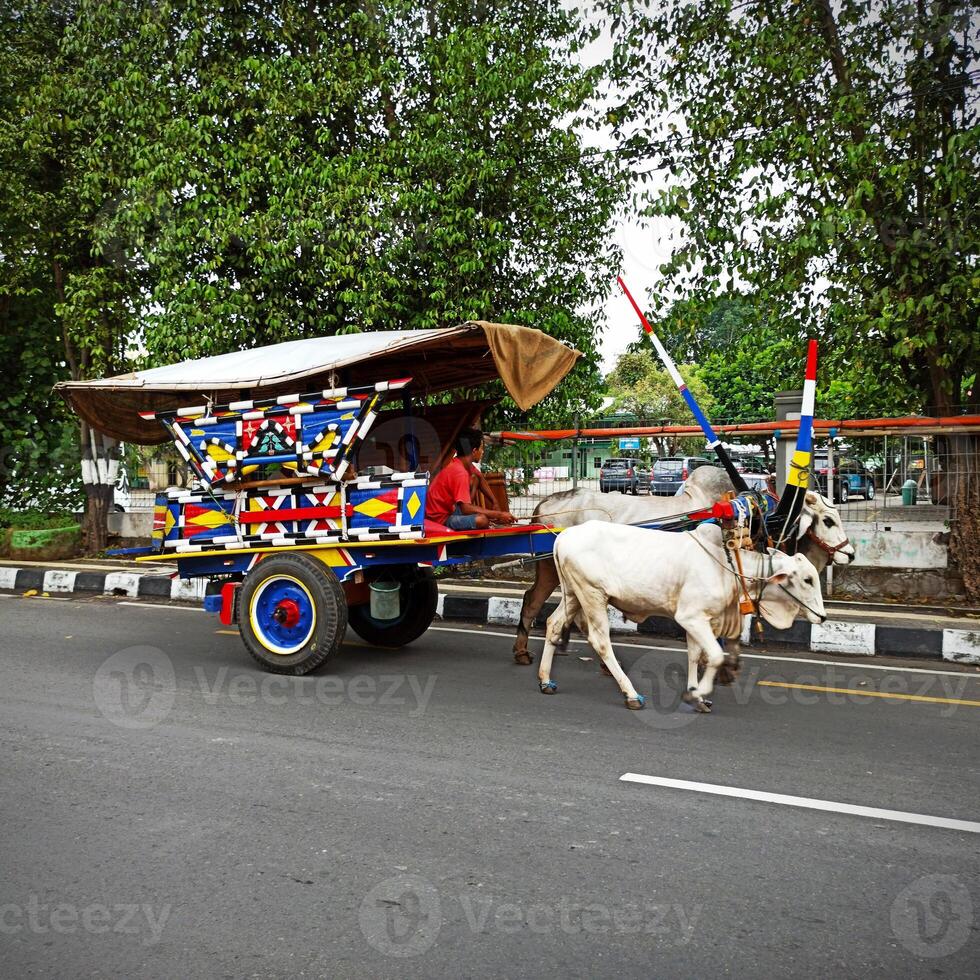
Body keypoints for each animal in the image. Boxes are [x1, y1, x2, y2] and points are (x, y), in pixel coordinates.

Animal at [540, 520, 824, 712]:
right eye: (807, 579)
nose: (822, 617)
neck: (727, 566)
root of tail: (563, 536)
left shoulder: (699, 620)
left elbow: (695, 656)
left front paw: (696, 695)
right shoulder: (691, 617)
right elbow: (716, 656)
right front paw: (699, 693)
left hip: (573, 594)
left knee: (554, 625)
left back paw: (545, 680)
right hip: (592, 595)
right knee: (600, 641)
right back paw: (631, 694)